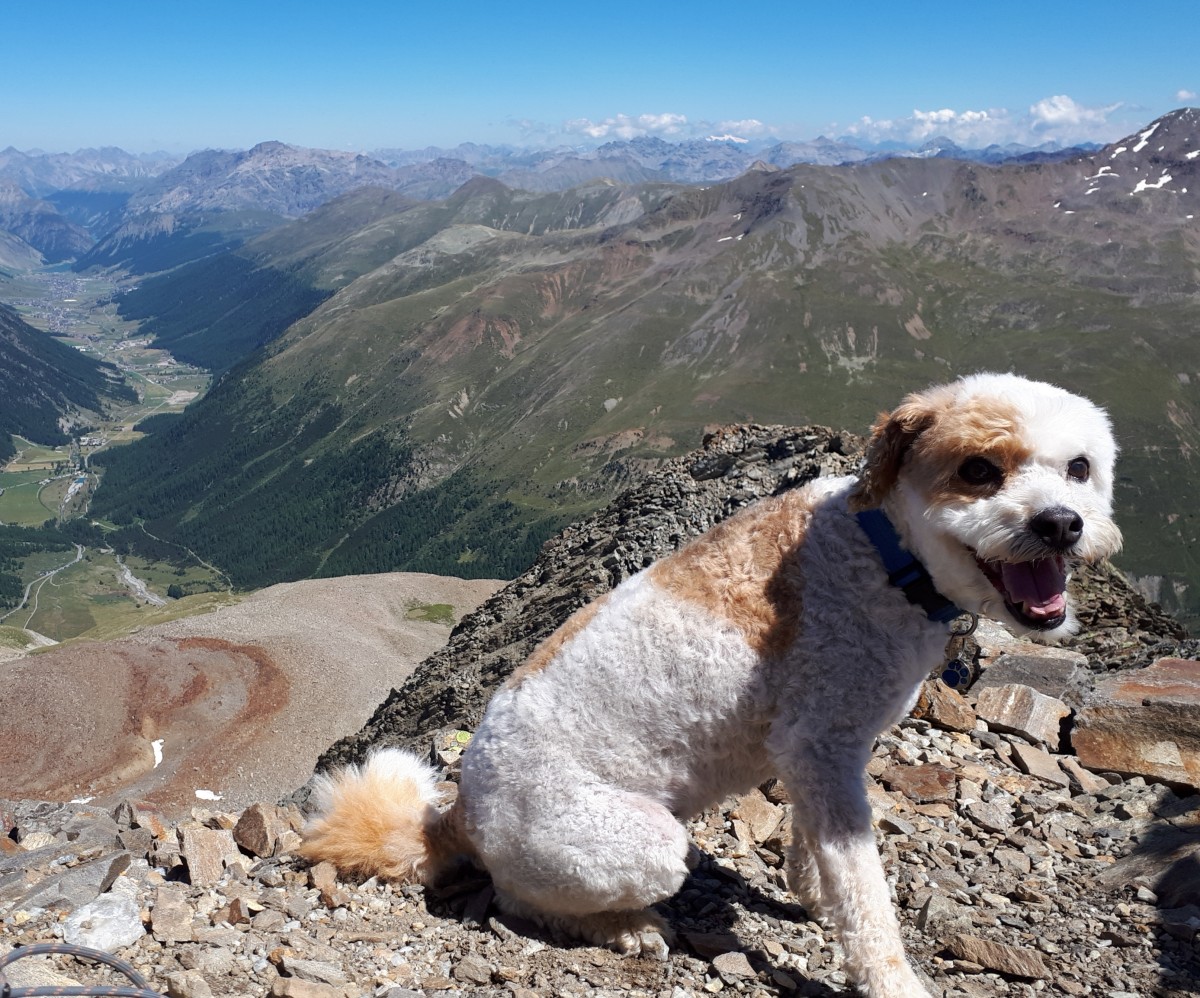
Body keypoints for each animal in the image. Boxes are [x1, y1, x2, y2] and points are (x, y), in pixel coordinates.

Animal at [302, 374, 1123, 998]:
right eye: (980, 469)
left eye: (1080, 468)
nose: (1061, 524)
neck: (883, 551)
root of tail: (460, 816)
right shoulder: (821, 747)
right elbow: (866, 897)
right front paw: (888, 977)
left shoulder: (817, 757)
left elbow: (814, 844)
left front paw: (810, 888)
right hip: (640, 842)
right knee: (518, 900)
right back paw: (625, 927)